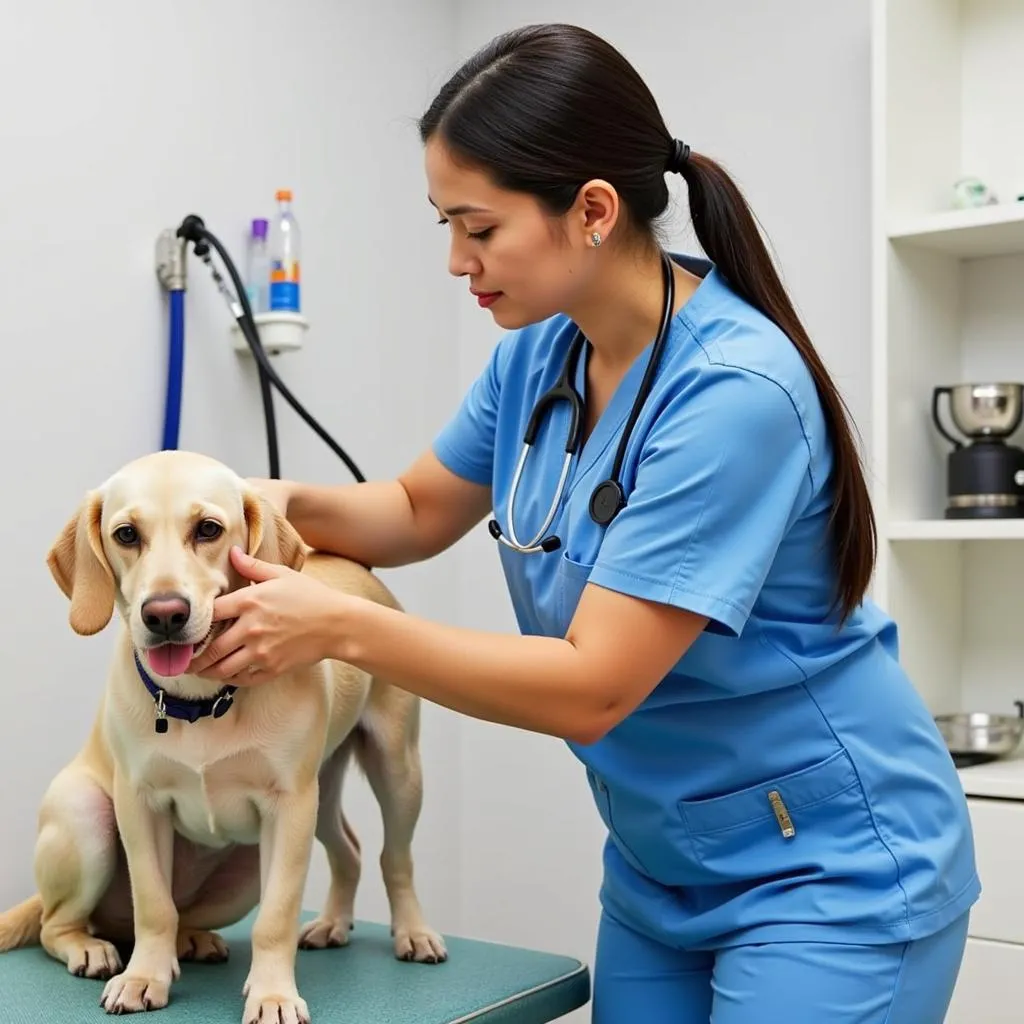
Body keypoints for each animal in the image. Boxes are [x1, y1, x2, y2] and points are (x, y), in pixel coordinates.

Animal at [1, 452, 448, 1019]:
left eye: (208, 529)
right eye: (126, 534)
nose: (164, 614)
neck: (199, 702)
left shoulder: (290, 805)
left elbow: (275, 920)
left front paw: (274, 994)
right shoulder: (138, 803)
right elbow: (154, 905)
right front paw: (143, 977)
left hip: (385, 774)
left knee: (391, 856)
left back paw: (406, 931)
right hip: (88, 814)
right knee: (58, 924)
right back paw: (96, 947)